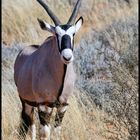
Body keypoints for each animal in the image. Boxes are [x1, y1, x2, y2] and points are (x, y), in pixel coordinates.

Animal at [14, 0, 83, 139]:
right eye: (56, 34)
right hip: (26, 102)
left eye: (73, 34)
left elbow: (57, 133)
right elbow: (45, 134)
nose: (67, 57)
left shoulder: (62, 106)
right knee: (30, 123)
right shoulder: (45, 106)